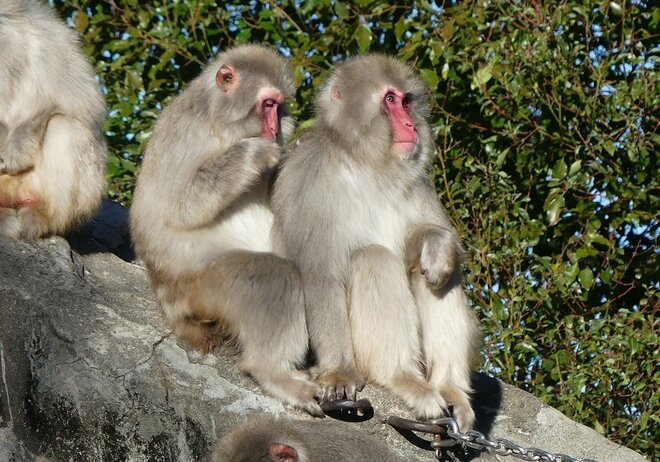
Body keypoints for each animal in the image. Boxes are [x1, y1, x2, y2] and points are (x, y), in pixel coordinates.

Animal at [272, 54, 480, 430]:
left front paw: (438, 245)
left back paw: (451, 389)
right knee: (373, 257)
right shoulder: (310, 177)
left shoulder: (417, 181)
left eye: (407, 101)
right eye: (389, 100)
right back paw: (404, 377)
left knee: (438, 276)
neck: (365, 163)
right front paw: (338, 373)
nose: (411, 125)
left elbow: (425, 241)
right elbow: (321, 276)